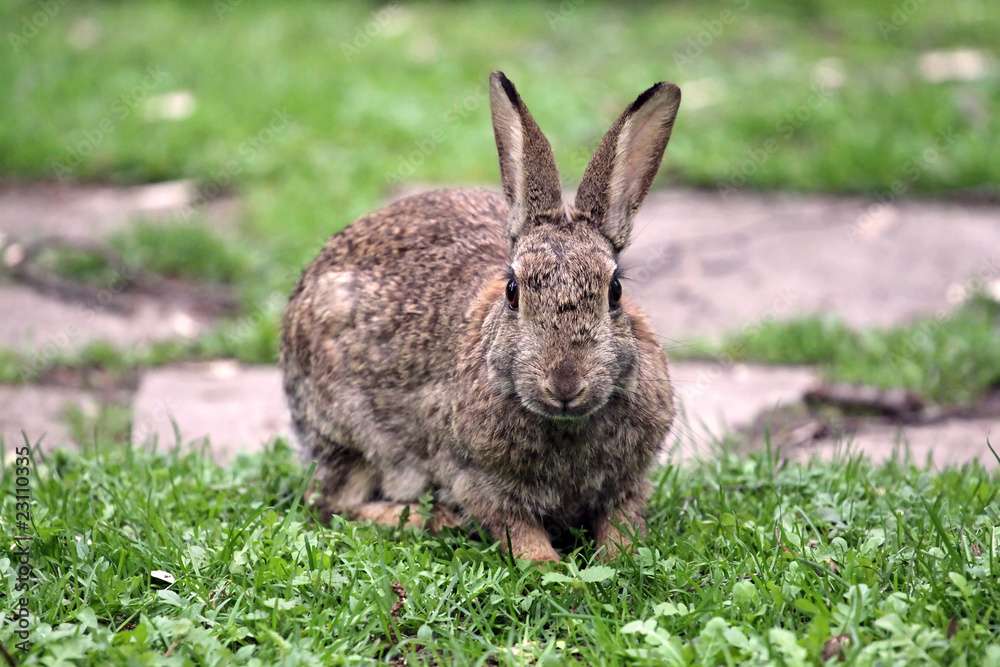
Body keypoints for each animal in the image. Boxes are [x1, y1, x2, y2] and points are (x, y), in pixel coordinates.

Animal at [280, 71, 680, 562]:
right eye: (513, 292)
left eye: (615, 291)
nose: (565, 383)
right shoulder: (473, 477)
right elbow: (516, 528)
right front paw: (550, 568)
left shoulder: (630, 481)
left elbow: (621, 523)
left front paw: (619, 560)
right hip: (350, 435)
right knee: (331, 503)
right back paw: (430, 519)